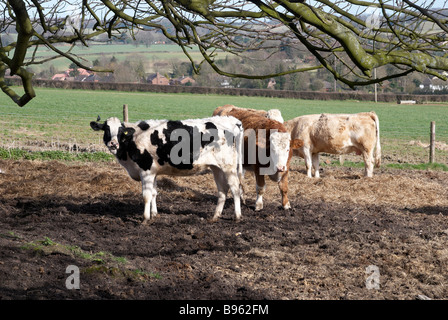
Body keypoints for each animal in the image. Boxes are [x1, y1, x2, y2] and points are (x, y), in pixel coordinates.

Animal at [91, 115, 245, 222]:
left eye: (121, 131)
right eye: (106, 129)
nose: (113, 143)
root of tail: (232, 120)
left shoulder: (146, 171)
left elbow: (146, 196)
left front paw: (145, 218)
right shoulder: (153, 172)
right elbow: (154, 193)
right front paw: (154, 214)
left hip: (229, 167)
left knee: (235, 189)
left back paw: (237, 216)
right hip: (216, 168)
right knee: (222, 191)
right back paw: (215, 216)